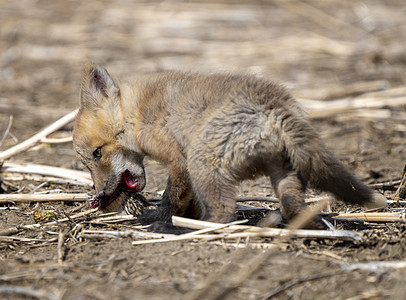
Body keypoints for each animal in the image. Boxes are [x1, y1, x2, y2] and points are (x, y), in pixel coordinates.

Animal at [73, 63, 386, 226]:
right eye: (87, 165)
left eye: (97, 154)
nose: (99, 194)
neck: (138, 114)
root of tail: (275, 106)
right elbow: (187, 202)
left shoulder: (179, 159)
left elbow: (171, 198)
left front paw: (159, 221)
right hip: (282, 170)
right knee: (293, 204)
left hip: (202, 163)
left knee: (224, 214)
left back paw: (197, 230)